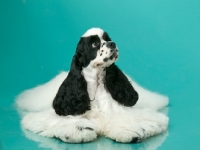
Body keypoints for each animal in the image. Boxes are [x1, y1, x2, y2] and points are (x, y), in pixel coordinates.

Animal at [16, 27, 169, 143]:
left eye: (108, 38)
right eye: (94, 44)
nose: (112, 43)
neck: (96, 85)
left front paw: (132, 130)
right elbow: (68, 121)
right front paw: (79, 131)